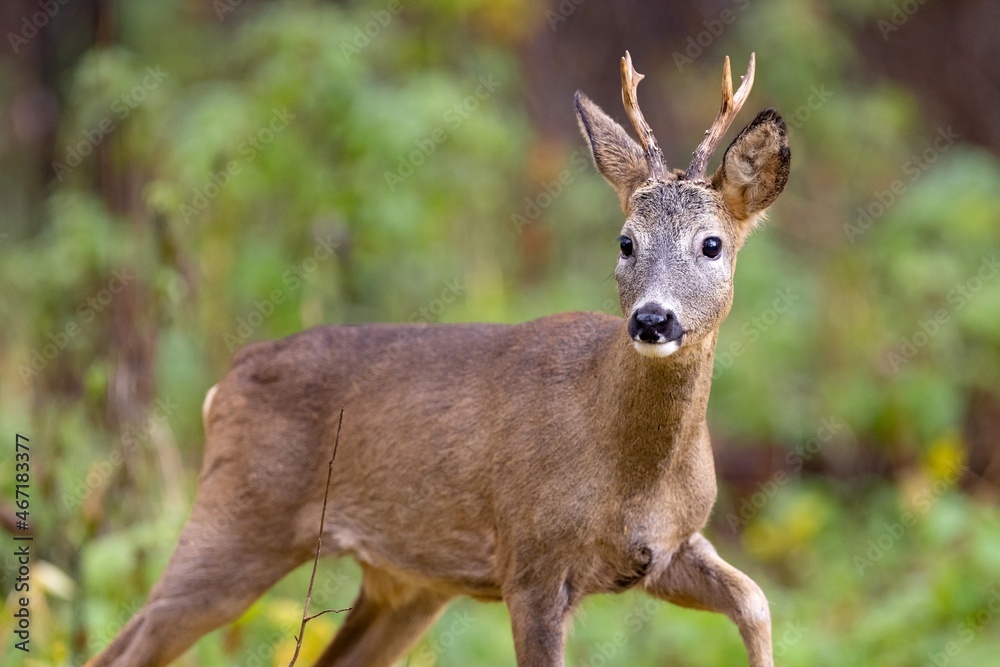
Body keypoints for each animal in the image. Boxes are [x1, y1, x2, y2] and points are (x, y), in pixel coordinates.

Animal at [89, 50, 790, 667]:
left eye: (712, 244)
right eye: (625, 242)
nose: (651, 319)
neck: (629, 472)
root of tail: (227, 382)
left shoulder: (666, 550)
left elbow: (756, 601)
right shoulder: (530, 561)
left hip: (404, 584)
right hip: (236, 520)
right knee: (123, 648)